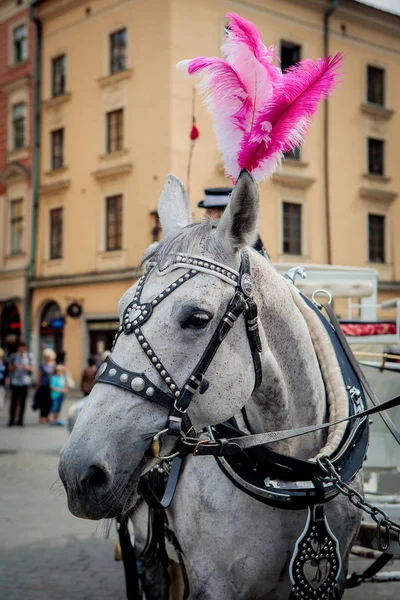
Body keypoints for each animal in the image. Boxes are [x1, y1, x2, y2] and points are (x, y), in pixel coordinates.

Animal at [59, 171, 362, 596]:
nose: (78, 471)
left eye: (198, 318)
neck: (297, 475)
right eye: (119, 312)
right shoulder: (217, 585)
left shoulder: (330, 578)